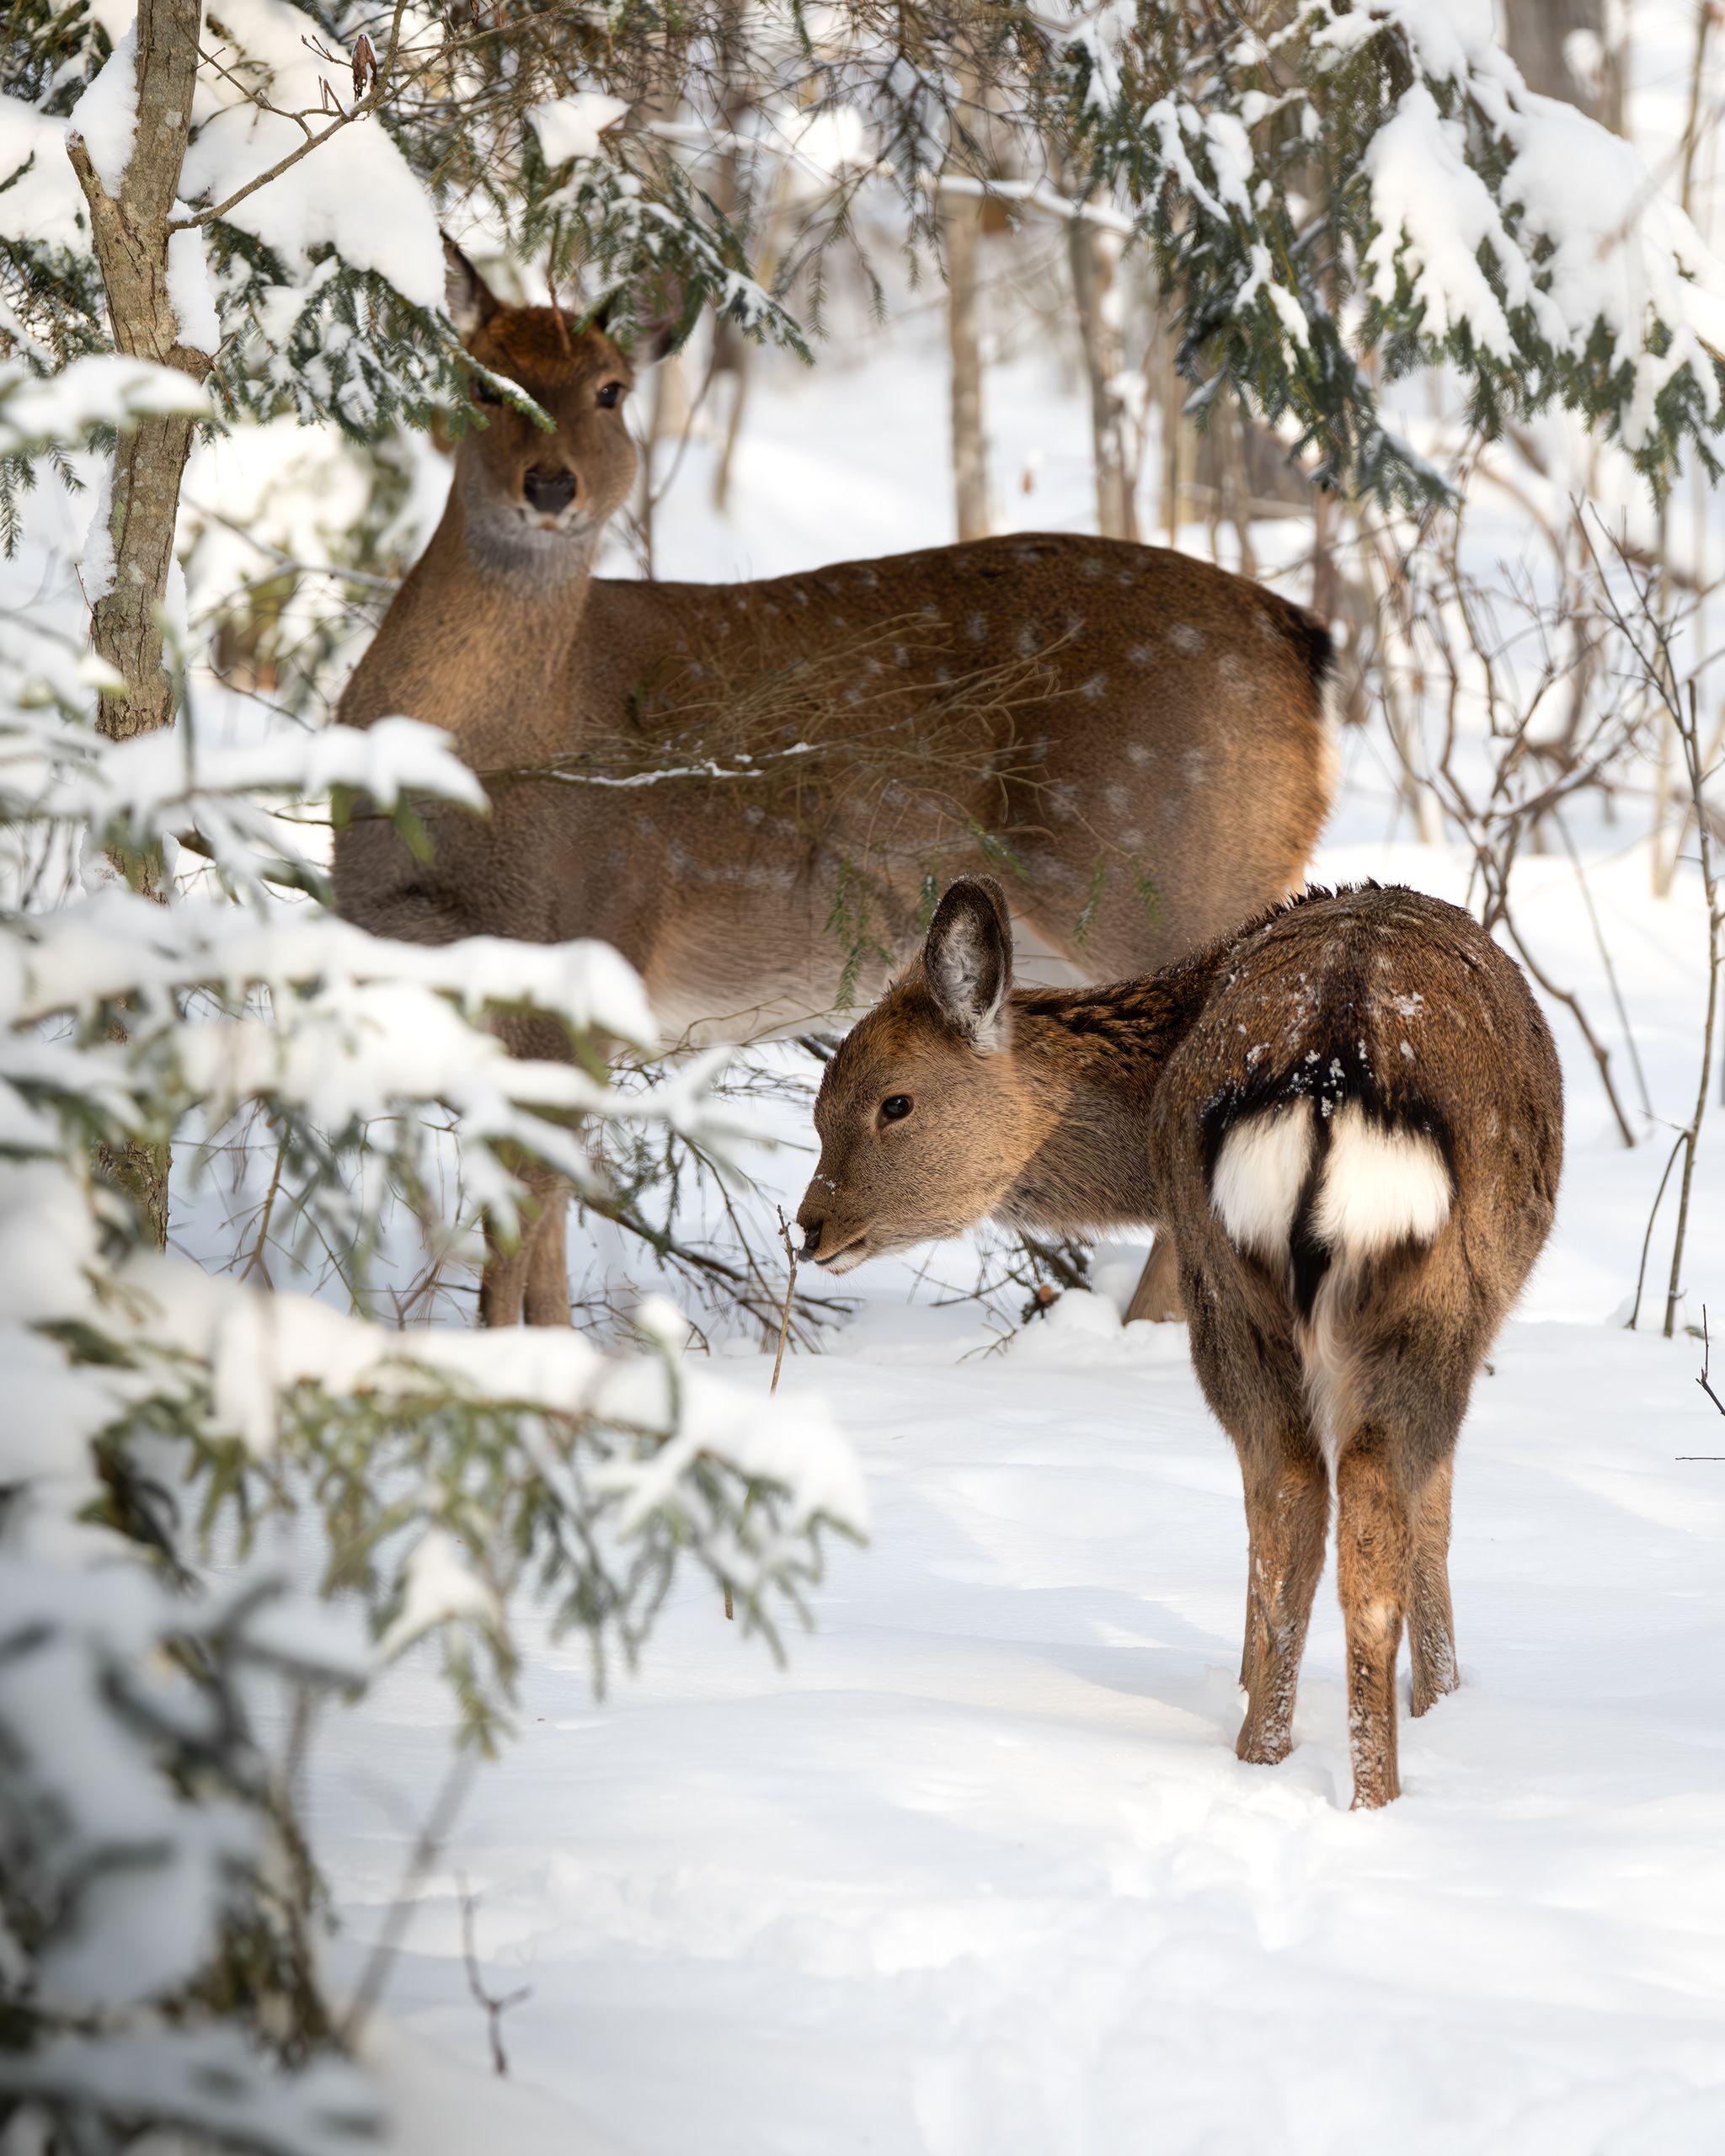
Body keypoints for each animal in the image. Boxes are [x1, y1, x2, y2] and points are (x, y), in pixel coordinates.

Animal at [334, 248, 1337, 1327]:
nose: (551, 482)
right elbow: (541, 1212)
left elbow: (524, 1211)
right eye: (484, 380)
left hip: (1173, 877)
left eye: (610, 389)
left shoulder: (594, 930)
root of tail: (1304, 645)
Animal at [793, 875, 1561, 1802]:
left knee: (1292, 1504)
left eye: (893, 1102)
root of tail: (1328, 1078)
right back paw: (1349, 1787)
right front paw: (1442, 1700)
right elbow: (1433, 1519)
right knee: (1340, 1511)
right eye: (819, 1111)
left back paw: (1275, 1754)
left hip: (1248, 1286)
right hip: (1410, 1299)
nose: (809, 1227)